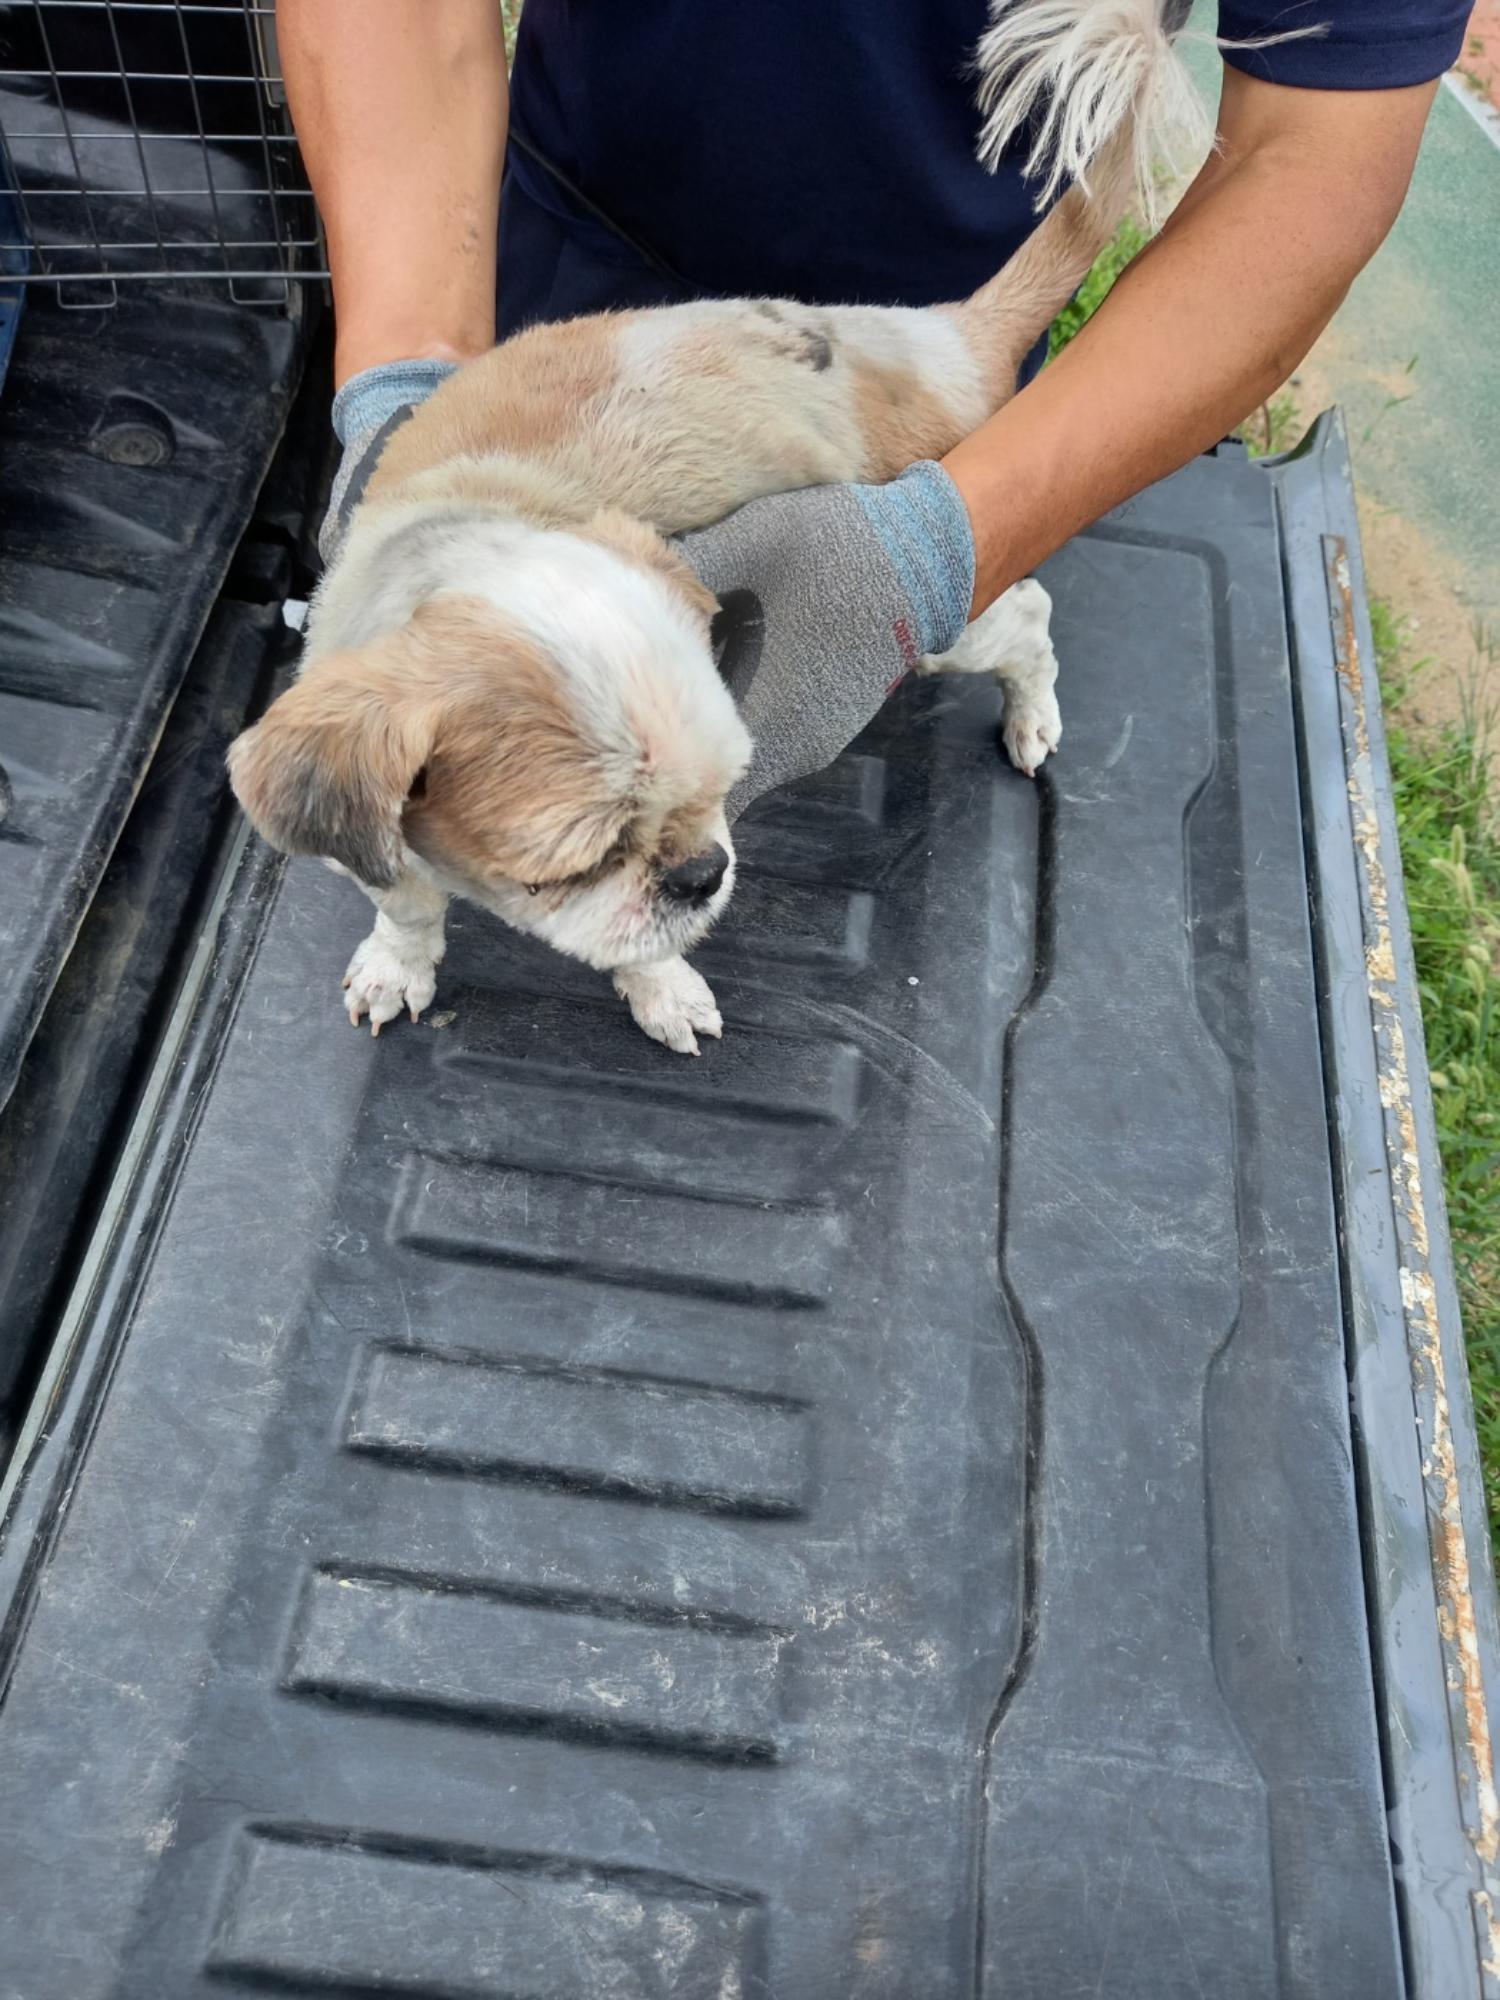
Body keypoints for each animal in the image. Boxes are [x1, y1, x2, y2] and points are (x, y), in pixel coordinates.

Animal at [229, 0, 1208, 1056]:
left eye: (724, 793)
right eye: (577, 862)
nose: (705, 872)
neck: (480, 521)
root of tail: (942, 336)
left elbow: (642, 945)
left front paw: (661, 987)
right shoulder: (377, 830)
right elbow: (407, 904)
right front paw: (398, 961)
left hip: (944, 608)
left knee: (1029, 619)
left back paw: (1032, 715)